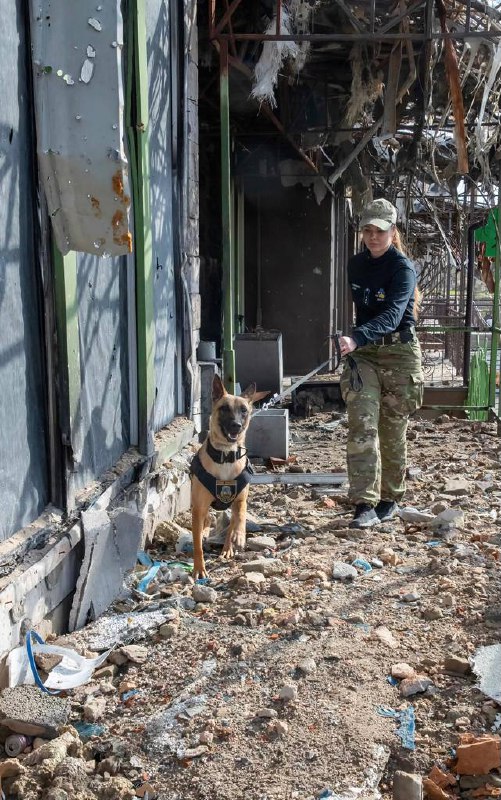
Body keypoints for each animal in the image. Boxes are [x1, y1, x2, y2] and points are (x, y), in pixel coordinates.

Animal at [189, 372, 256, 580]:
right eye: (224, 408)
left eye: (244, 410)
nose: (236, 426)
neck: (226, 456)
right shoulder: (199, 507)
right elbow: (197, 544)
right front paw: (199, 568)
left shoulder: (240, 499)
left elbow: (240, 516)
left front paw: (239, 536)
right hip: (199, 507)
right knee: (205, 522)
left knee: (230, 523)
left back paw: (227, 547)